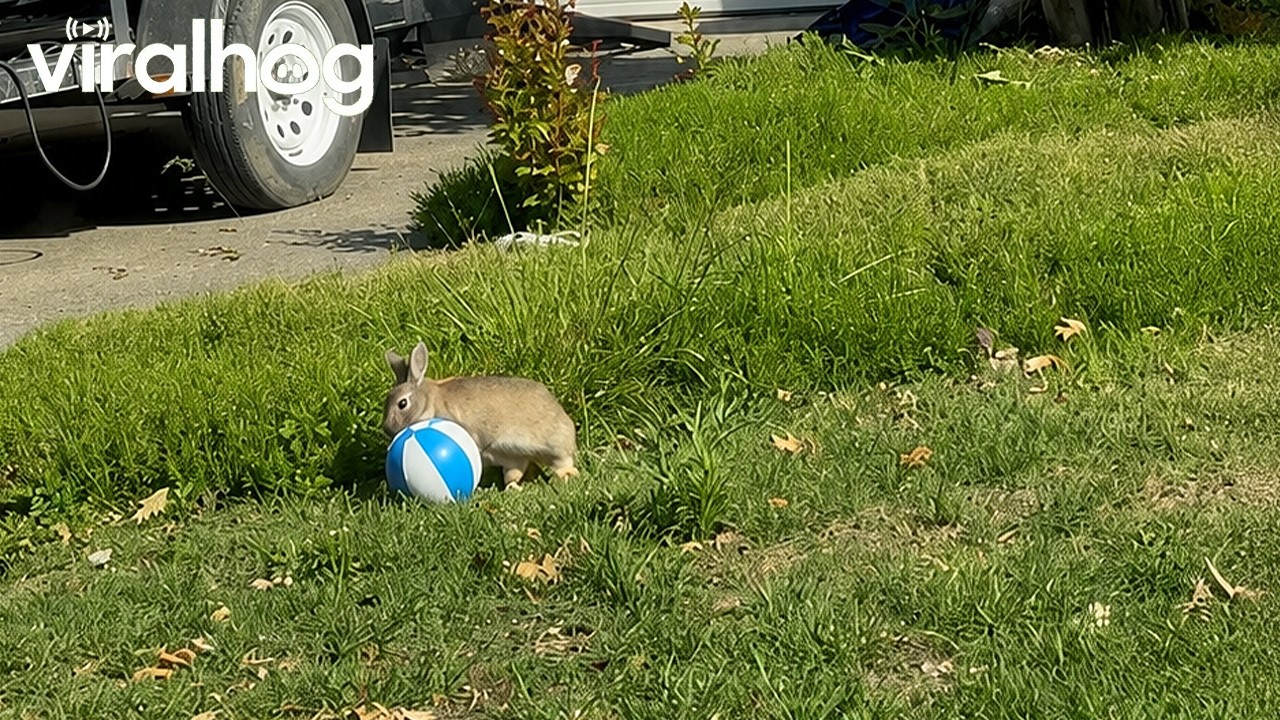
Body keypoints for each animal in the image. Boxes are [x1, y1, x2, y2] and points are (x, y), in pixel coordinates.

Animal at [382, 341, 579, 490]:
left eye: (402, 404)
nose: (386, 428)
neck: (428, 402)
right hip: (514, 459)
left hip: (554, 447)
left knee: (563, 462)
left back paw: (566, 476)